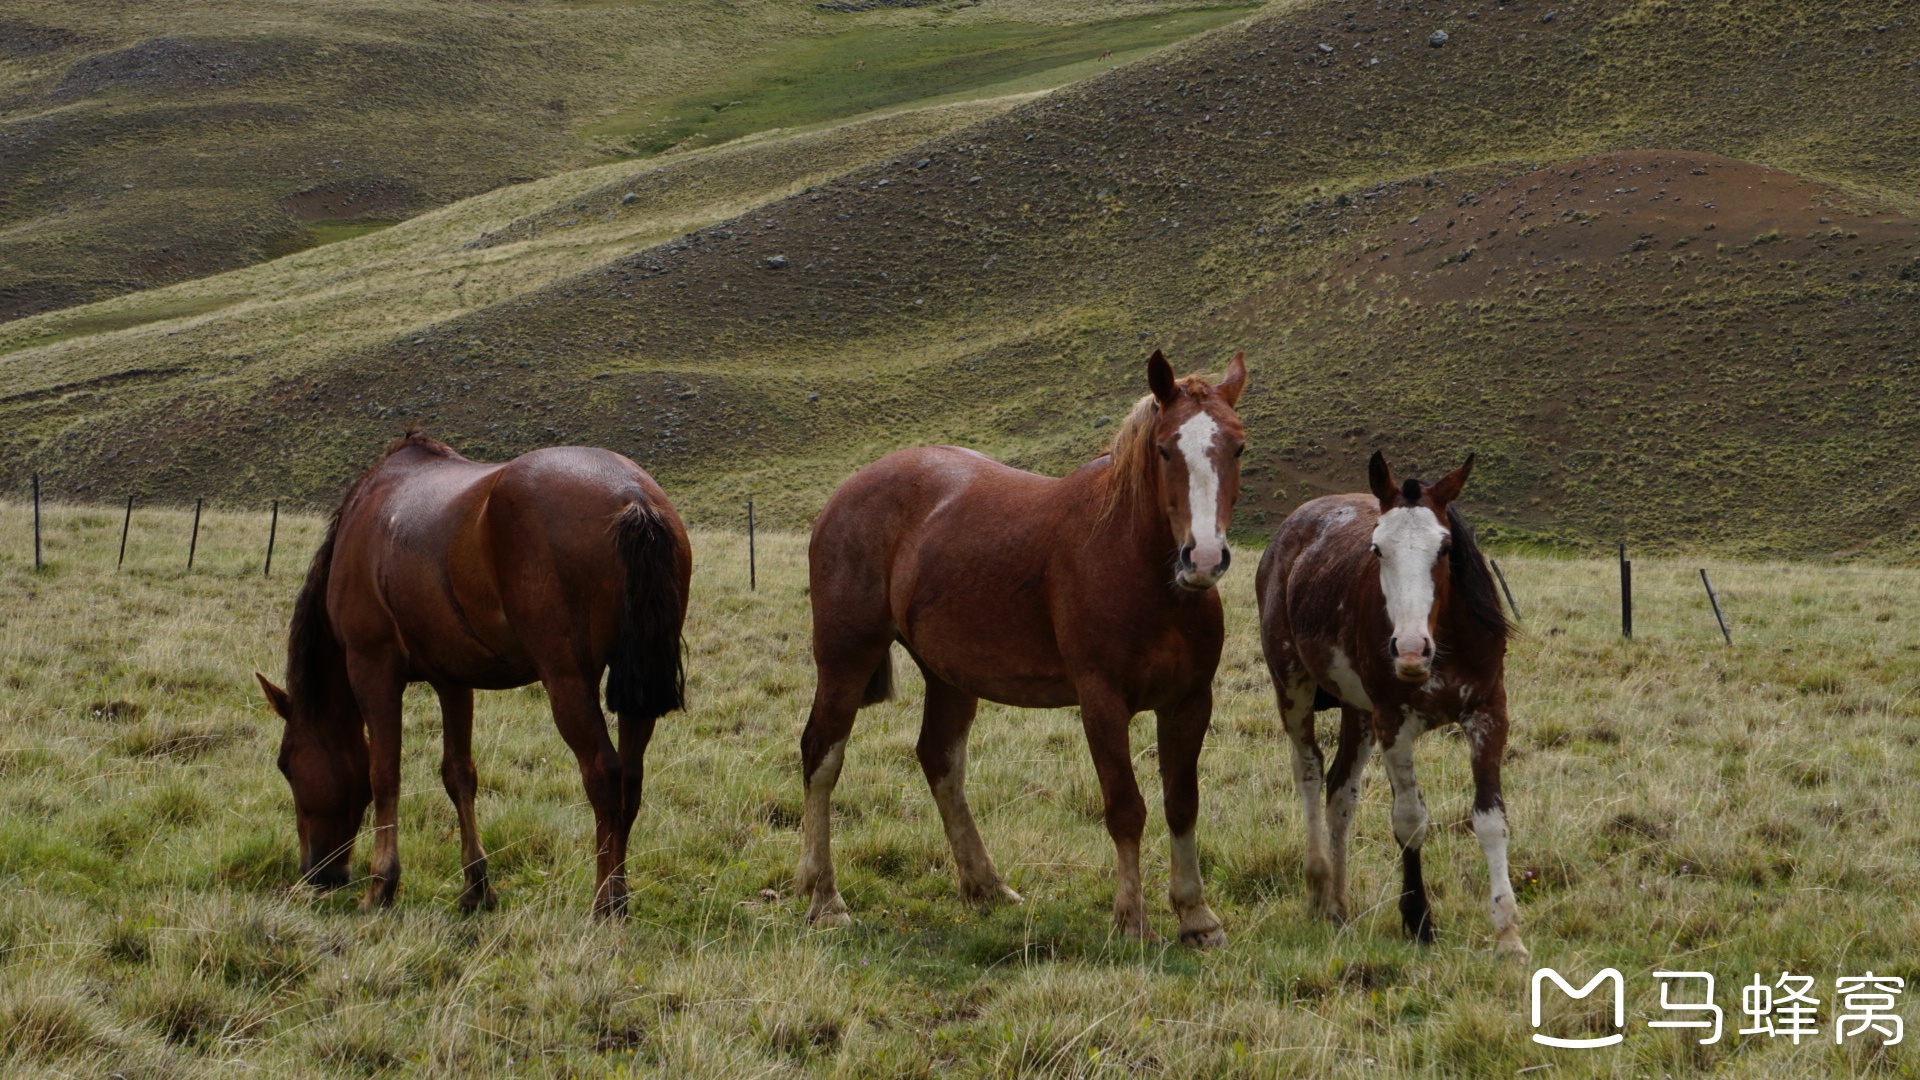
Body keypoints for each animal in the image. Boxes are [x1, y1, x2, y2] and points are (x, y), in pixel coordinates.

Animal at [253, 432, 691, 910]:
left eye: (285, 764)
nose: (316, 872)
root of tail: (632, 495)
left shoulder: (373, 668)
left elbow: (384, 774)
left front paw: (381, 885)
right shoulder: (452, 679)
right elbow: (459, 774)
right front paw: (476, 886)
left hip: (568, 681)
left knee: (604, 776)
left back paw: (605, 901)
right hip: (637, 687)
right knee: (630, 777)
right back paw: (619, 895)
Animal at [794, 349, 1244, 937]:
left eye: (1238, 446)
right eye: (1165, 448)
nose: (1205, 557)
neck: (1143, 571)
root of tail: (844, 494)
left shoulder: (1190, 703)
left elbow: (1182, 804)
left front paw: (1196, 915)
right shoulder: (1101, 701)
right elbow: (1125, 807)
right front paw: (1130, 918)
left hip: (948, 675)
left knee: (940, 760)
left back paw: (984, 883)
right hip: (845, 659)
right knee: (821, 755)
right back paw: (824, 895)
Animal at [1259, 449, 1528, 953]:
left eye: (1445, 548)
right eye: (1378, 549)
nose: (1409, 649)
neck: (1444, 641)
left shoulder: (1488, 714)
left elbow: (1490, 819)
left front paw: (1508, 934)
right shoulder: (1394, 724)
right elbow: (1410, 819)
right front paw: (1418, 917)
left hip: (1358, 713)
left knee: (1340, 790)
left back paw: (1338, 905)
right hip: (1293, 686)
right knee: (1308, 772)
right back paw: (1318, 886)